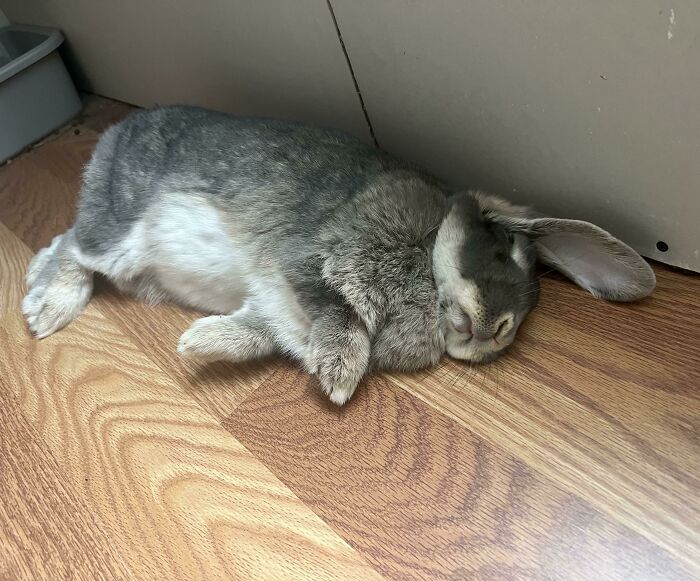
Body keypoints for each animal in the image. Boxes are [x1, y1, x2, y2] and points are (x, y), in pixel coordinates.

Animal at [22, 105, 656, 405]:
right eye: (502, 251)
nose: (499, 331)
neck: (427, 262)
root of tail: (117, 129)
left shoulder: (275, 304)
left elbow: (261, 329)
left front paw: (199, 343)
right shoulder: (313, 259)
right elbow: (342, 311)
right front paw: (340, 375)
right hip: (119, 236)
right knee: (69, 243)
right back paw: (44, 308)